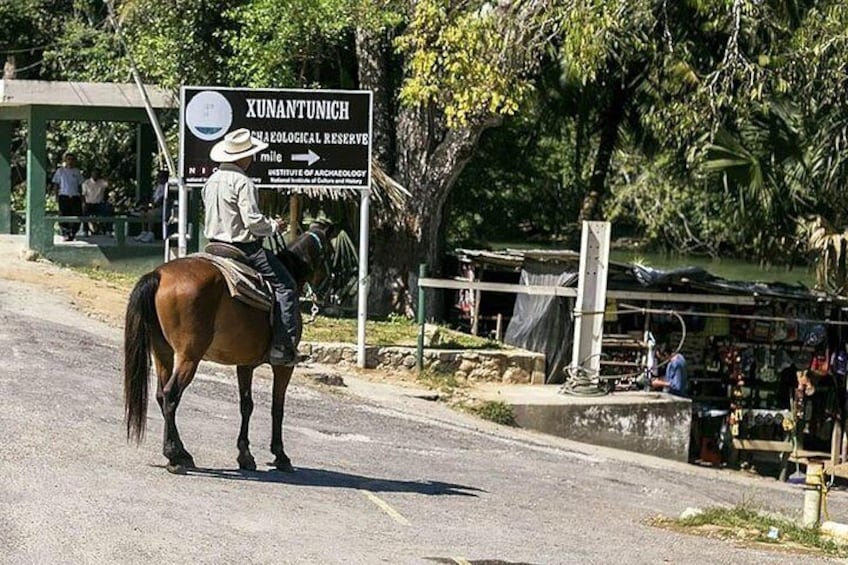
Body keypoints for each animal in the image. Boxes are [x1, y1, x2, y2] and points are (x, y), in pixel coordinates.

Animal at [123, 225, 334, 472]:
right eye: (331, 252)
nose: (330, 290)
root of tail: (159, 274)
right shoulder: (284, 367)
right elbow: (277, 408)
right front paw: (280, 455)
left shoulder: (245, 364)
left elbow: (247, 405)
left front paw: (245, 455)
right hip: (189, 357)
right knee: (170, 395)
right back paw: (174, 455)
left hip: (162, 352)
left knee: (160, 394)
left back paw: (181, 453)